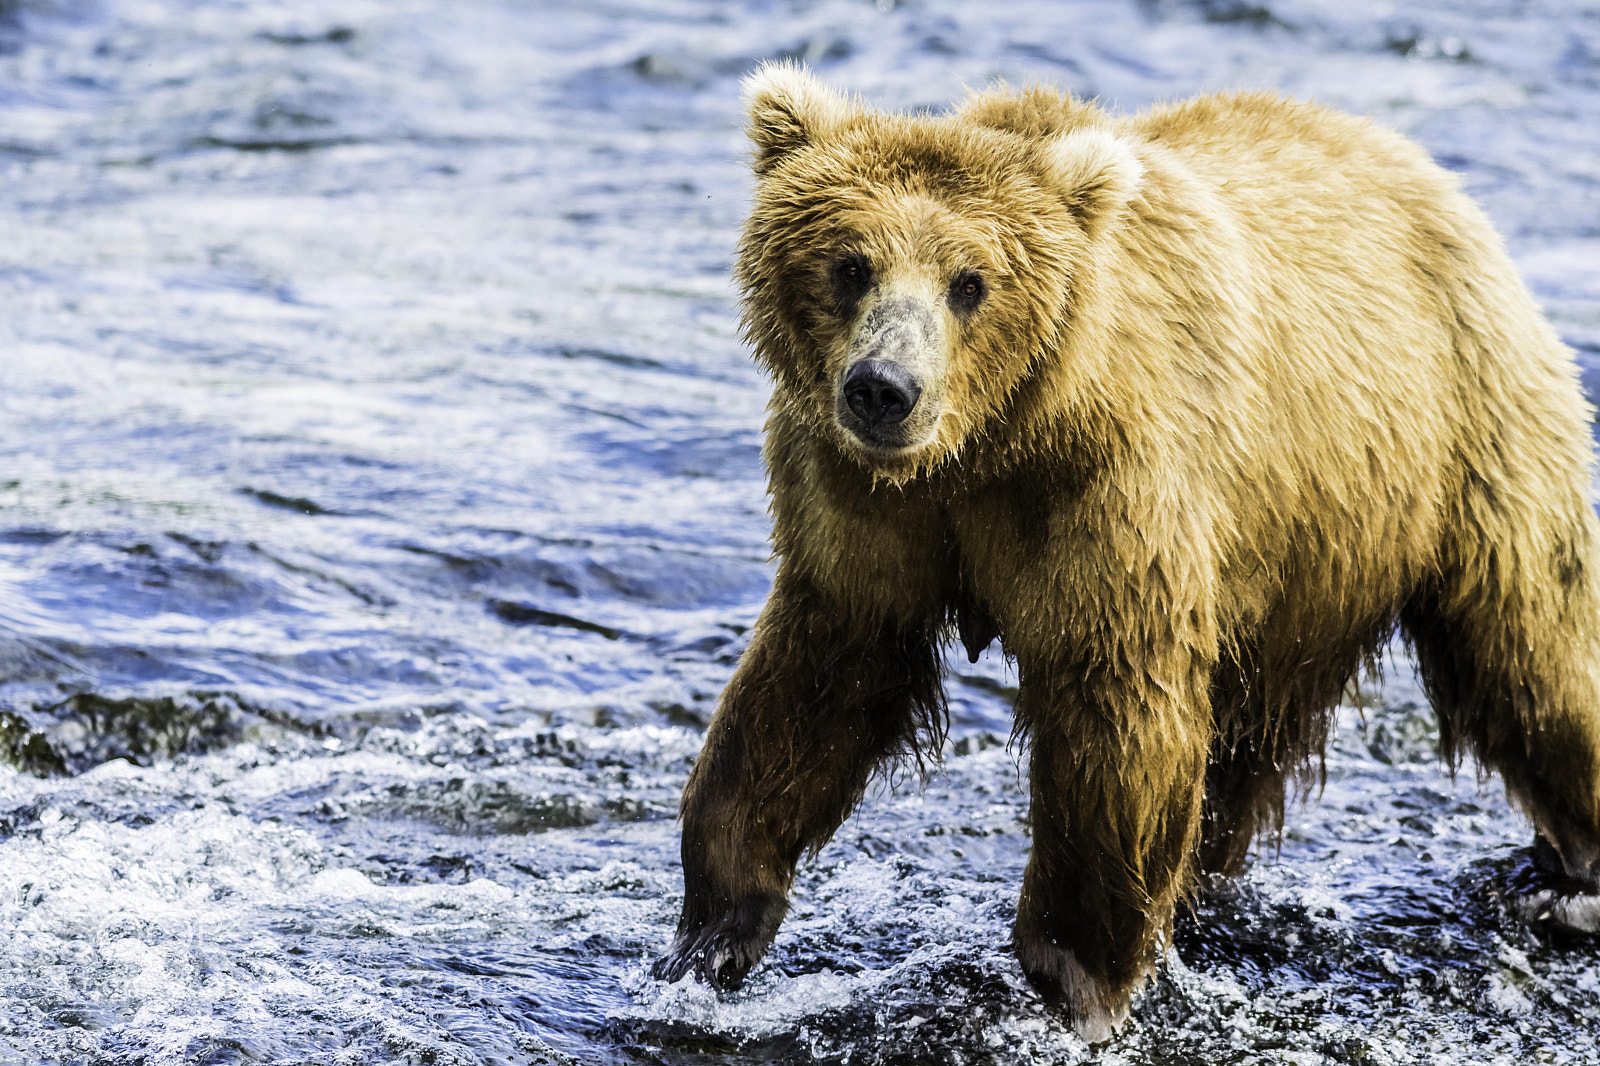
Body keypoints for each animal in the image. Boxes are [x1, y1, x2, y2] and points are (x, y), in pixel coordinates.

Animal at [653, 63, 1600, 1041]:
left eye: (970, 281)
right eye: (850, 264)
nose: (885, 388)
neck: (988, 444)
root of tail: (1419, 167)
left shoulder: (1109, 488)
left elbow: (1115, 708)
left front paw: (1075, 979)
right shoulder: (862, 504)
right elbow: (823, 671)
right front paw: (714, 930)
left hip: (1467, 432)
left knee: (1533, 652)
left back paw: (1571, 874)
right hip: (1300, 564)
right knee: (1244, 744)